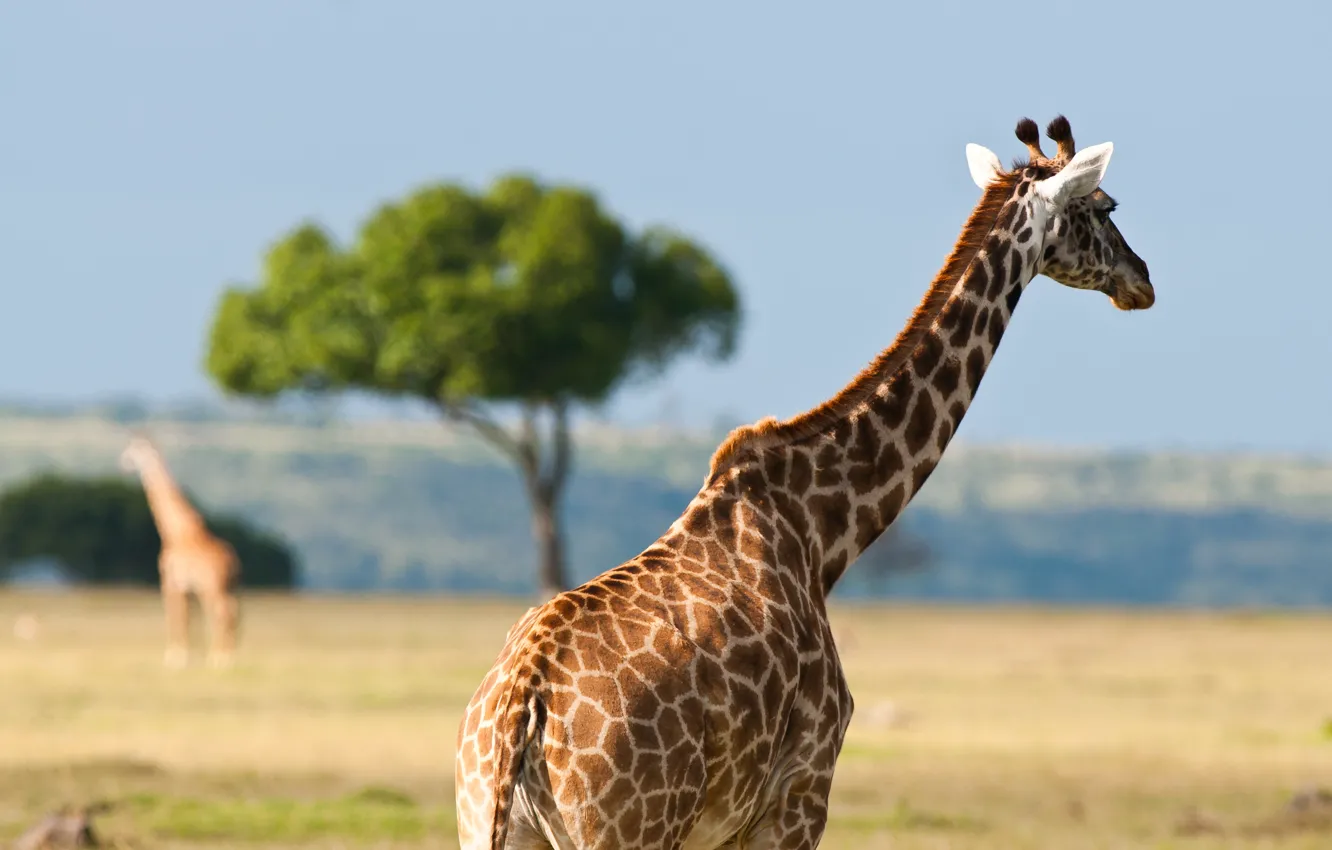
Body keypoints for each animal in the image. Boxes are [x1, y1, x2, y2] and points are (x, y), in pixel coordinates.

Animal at [119, 434, 240, 668]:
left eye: (135, 449)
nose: (123, 462)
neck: (175, 532)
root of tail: (232, 561)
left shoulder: (169, 581)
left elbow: (174, 616)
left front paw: (174, 658)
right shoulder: (186, 587)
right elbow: (189, 619)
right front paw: (188, 657)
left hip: (211, 586)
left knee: (221, 612)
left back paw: (219, 658)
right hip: (231, 586)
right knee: (234, 611)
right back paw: (229, 655)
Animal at [454, 115, 1154, 850]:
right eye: (1105, 206)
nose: (1142, 280)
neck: (824, 534)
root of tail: (518, 712)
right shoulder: (800, 793)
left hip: (490, 822)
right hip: (624, 829)